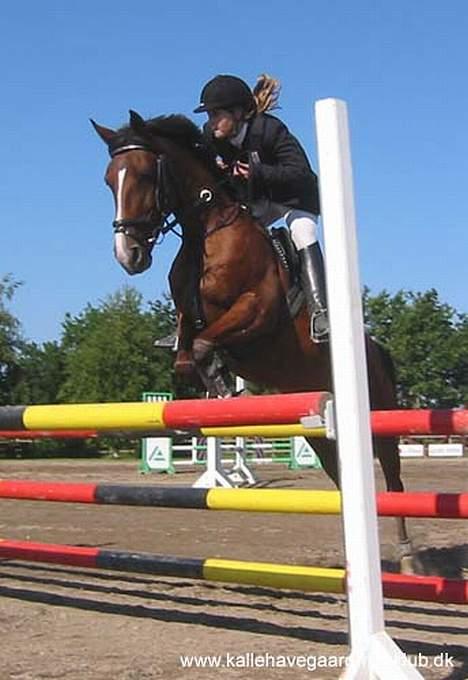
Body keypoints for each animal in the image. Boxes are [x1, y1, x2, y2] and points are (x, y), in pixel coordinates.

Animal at [92, 110, 412, 565]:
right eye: (109, 180)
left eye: (143, 174)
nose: (128, 256)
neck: (207, 234)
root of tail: (375, 350)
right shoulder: (190, 319)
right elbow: (187, 355)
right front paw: (220, 385)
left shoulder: (257, 312)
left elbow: (207, 344)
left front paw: (225, 385)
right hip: (318, 431)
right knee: (342, 475)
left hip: (379, 414)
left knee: (393, 476)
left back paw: (405, 551)